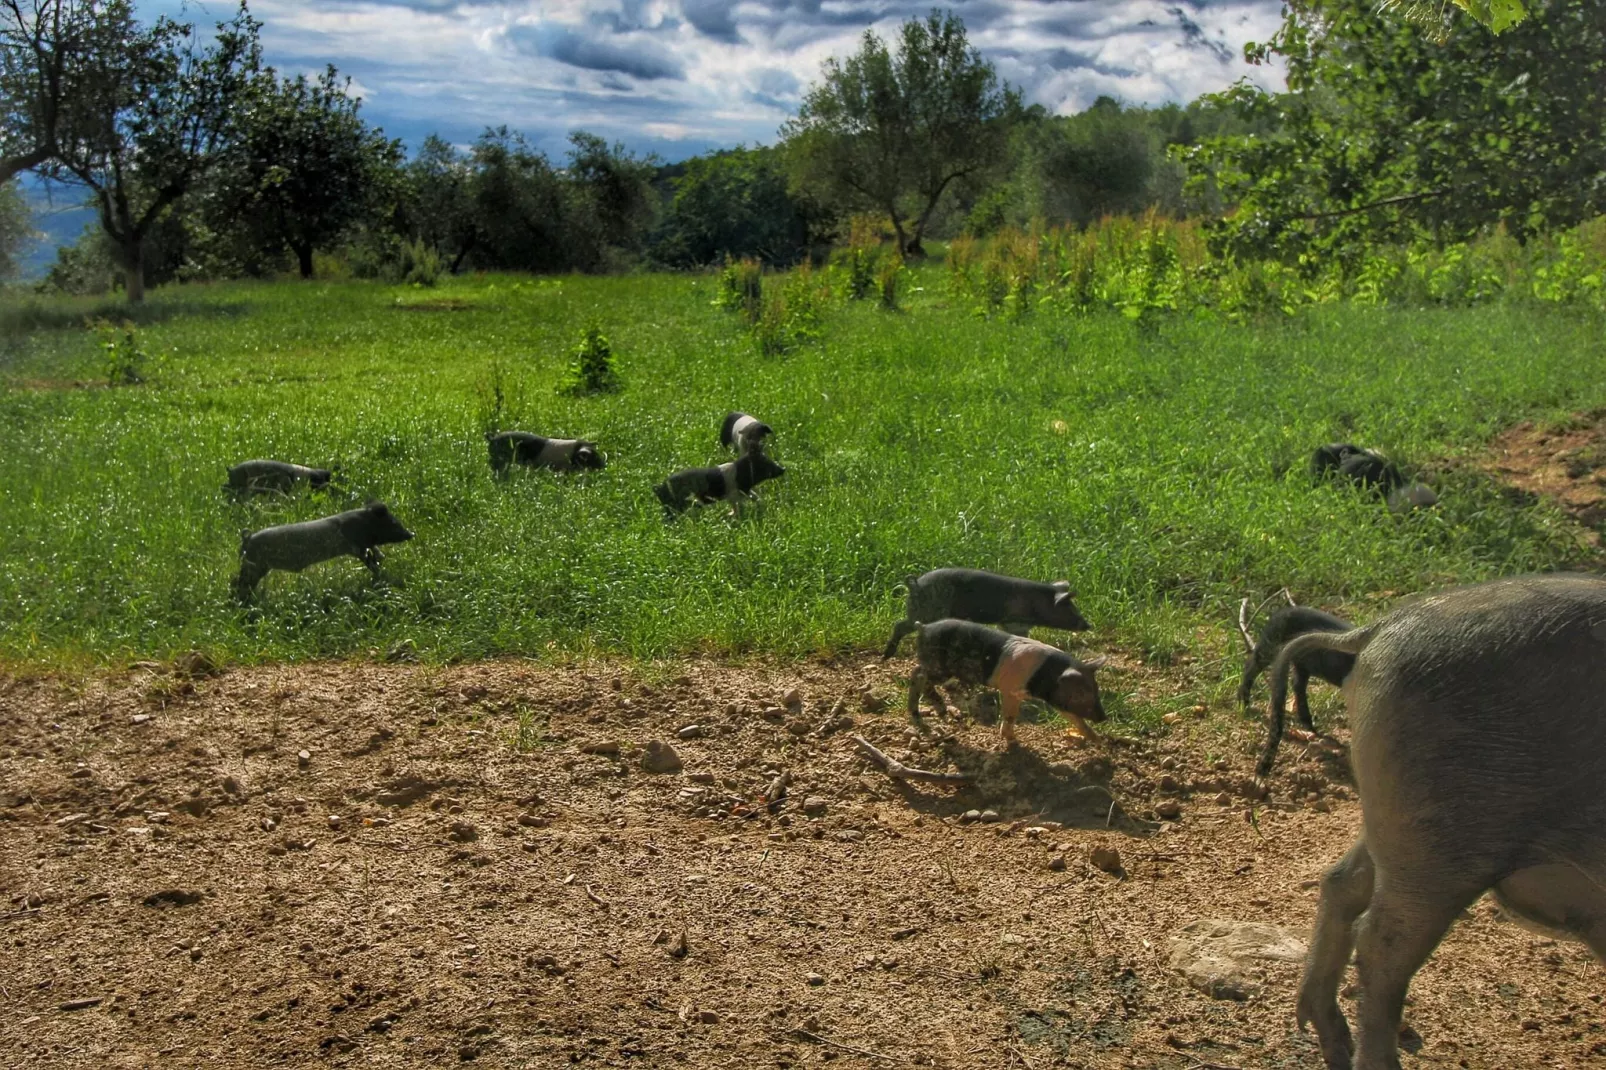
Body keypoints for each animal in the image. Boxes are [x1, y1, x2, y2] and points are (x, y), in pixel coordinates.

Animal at [237, 498, 417, 594]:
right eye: (393, 523)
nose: (411, 534)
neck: (363, 523)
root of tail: (248, 538)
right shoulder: (355, 545)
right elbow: (367, 556)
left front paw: (381, 559)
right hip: (254, 565)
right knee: (238, 582)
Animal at [880, 565, 1092, 658]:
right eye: (1070, 610)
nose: (1088, 625)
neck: (1036, 603)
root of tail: (914, 584)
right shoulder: (1015, 621)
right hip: (927, 612)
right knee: (900, 625)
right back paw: (887, 655)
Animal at [912, 613, 1111, 745]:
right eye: (1081, 694)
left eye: (1096, 689)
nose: (1104, 718)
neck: (1044, 674)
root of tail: (923, 627)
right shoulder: (1010, 689)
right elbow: (1009, 715)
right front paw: (1014, 741)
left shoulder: (1057, 700)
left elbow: (1076, 719)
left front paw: (1098, 741)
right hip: (938, 665)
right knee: (918, 674)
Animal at [1265, 575, 1606, 1066]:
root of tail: (1380, 631)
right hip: (1440, 838)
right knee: (1381, 941)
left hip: (1396, 816)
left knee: (1342, 882)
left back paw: (1333, 1039)